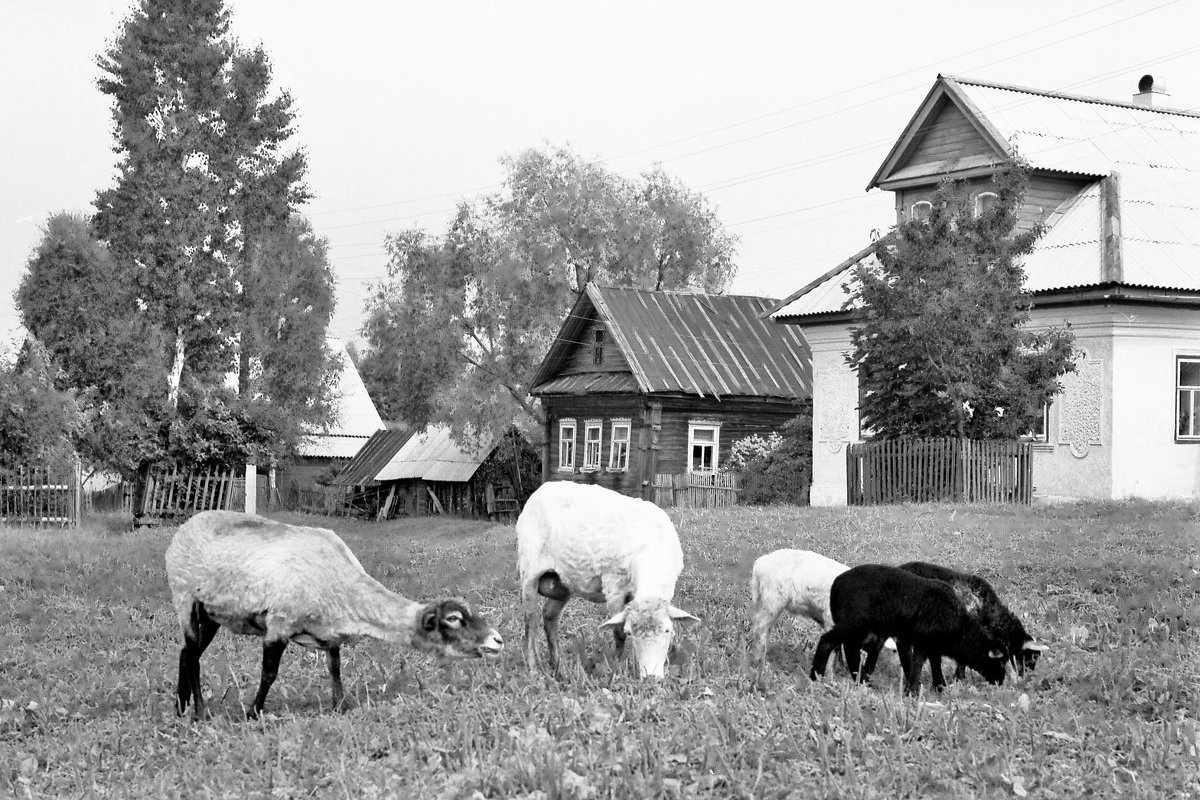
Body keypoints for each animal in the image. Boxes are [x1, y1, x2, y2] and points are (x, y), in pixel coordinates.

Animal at [164, 513, 501, 719]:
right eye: (453, 619)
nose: (497, 640)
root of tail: (186, 525)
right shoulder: (279, 624)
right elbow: (269, 674)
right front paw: (253, 713)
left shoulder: (330, 634)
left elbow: (335, 668)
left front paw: (341, 705)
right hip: (185, 598)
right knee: (192, 657)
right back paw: (199, 713)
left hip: (210, 613)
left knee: (184, 653)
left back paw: (180, 709)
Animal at [518, 479, 700, 681]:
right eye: (630, 632)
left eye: (667, 630)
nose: (651, 678)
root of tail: (543, 488)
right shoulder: (614, 587)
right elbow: (618, 633)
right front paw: (618, 669)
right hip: (529, 570)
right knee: (530, 622)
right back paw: (533, 669)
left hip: (562, 582)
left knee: (549, 616)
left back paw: (558, 667)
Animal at [811, 563, 1008, 695]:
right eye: (1000, 662)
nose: (1001, 682)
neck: (959, 629)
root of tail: (836, 585)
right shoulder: (922, 639)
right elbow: (918, 662)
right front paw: (913, 690)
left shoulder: (930, 643)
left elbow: (934, 662)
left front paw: (938, 686)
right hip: (855, 622)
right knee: (829, 641)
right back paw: (817, 676)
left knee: (849, 648)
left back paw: (862, 680)